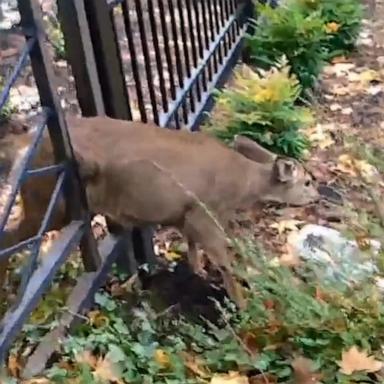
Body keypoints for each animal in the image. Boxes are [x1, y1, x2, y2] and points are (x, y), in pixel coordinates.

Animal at [0, 115, 318, 308]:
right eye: (307, 181)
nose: (316, 197)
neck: (242, 184)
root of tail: (24, 144)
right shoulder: (205, 211)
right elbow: (224, 261)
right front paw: (242, 303)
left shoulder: (185, 215)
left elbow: (192, 247)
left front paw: (199, 272)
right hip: (51, 202)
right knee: (10, 236)